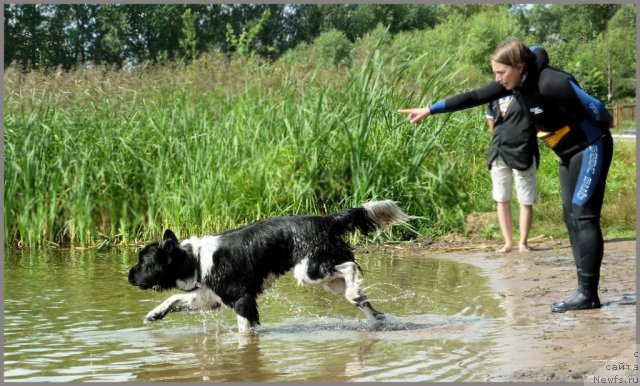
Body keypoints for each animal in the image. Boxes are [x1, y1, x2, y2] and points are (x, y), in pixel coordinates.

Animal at [127, 199, 408, 332]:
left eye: (143, 262)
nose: (128, 274)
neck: (193, 258)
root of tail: (327, 219)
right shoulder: (210, 298)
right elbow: (173, 299)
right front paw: (154, 314)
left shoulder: (242, 300)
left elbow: (245, 332)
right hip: (326, 276)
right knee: (363, 299)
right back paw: (368, 309)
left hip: (309, 270)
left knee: (350, 268)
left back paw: (355, 292)